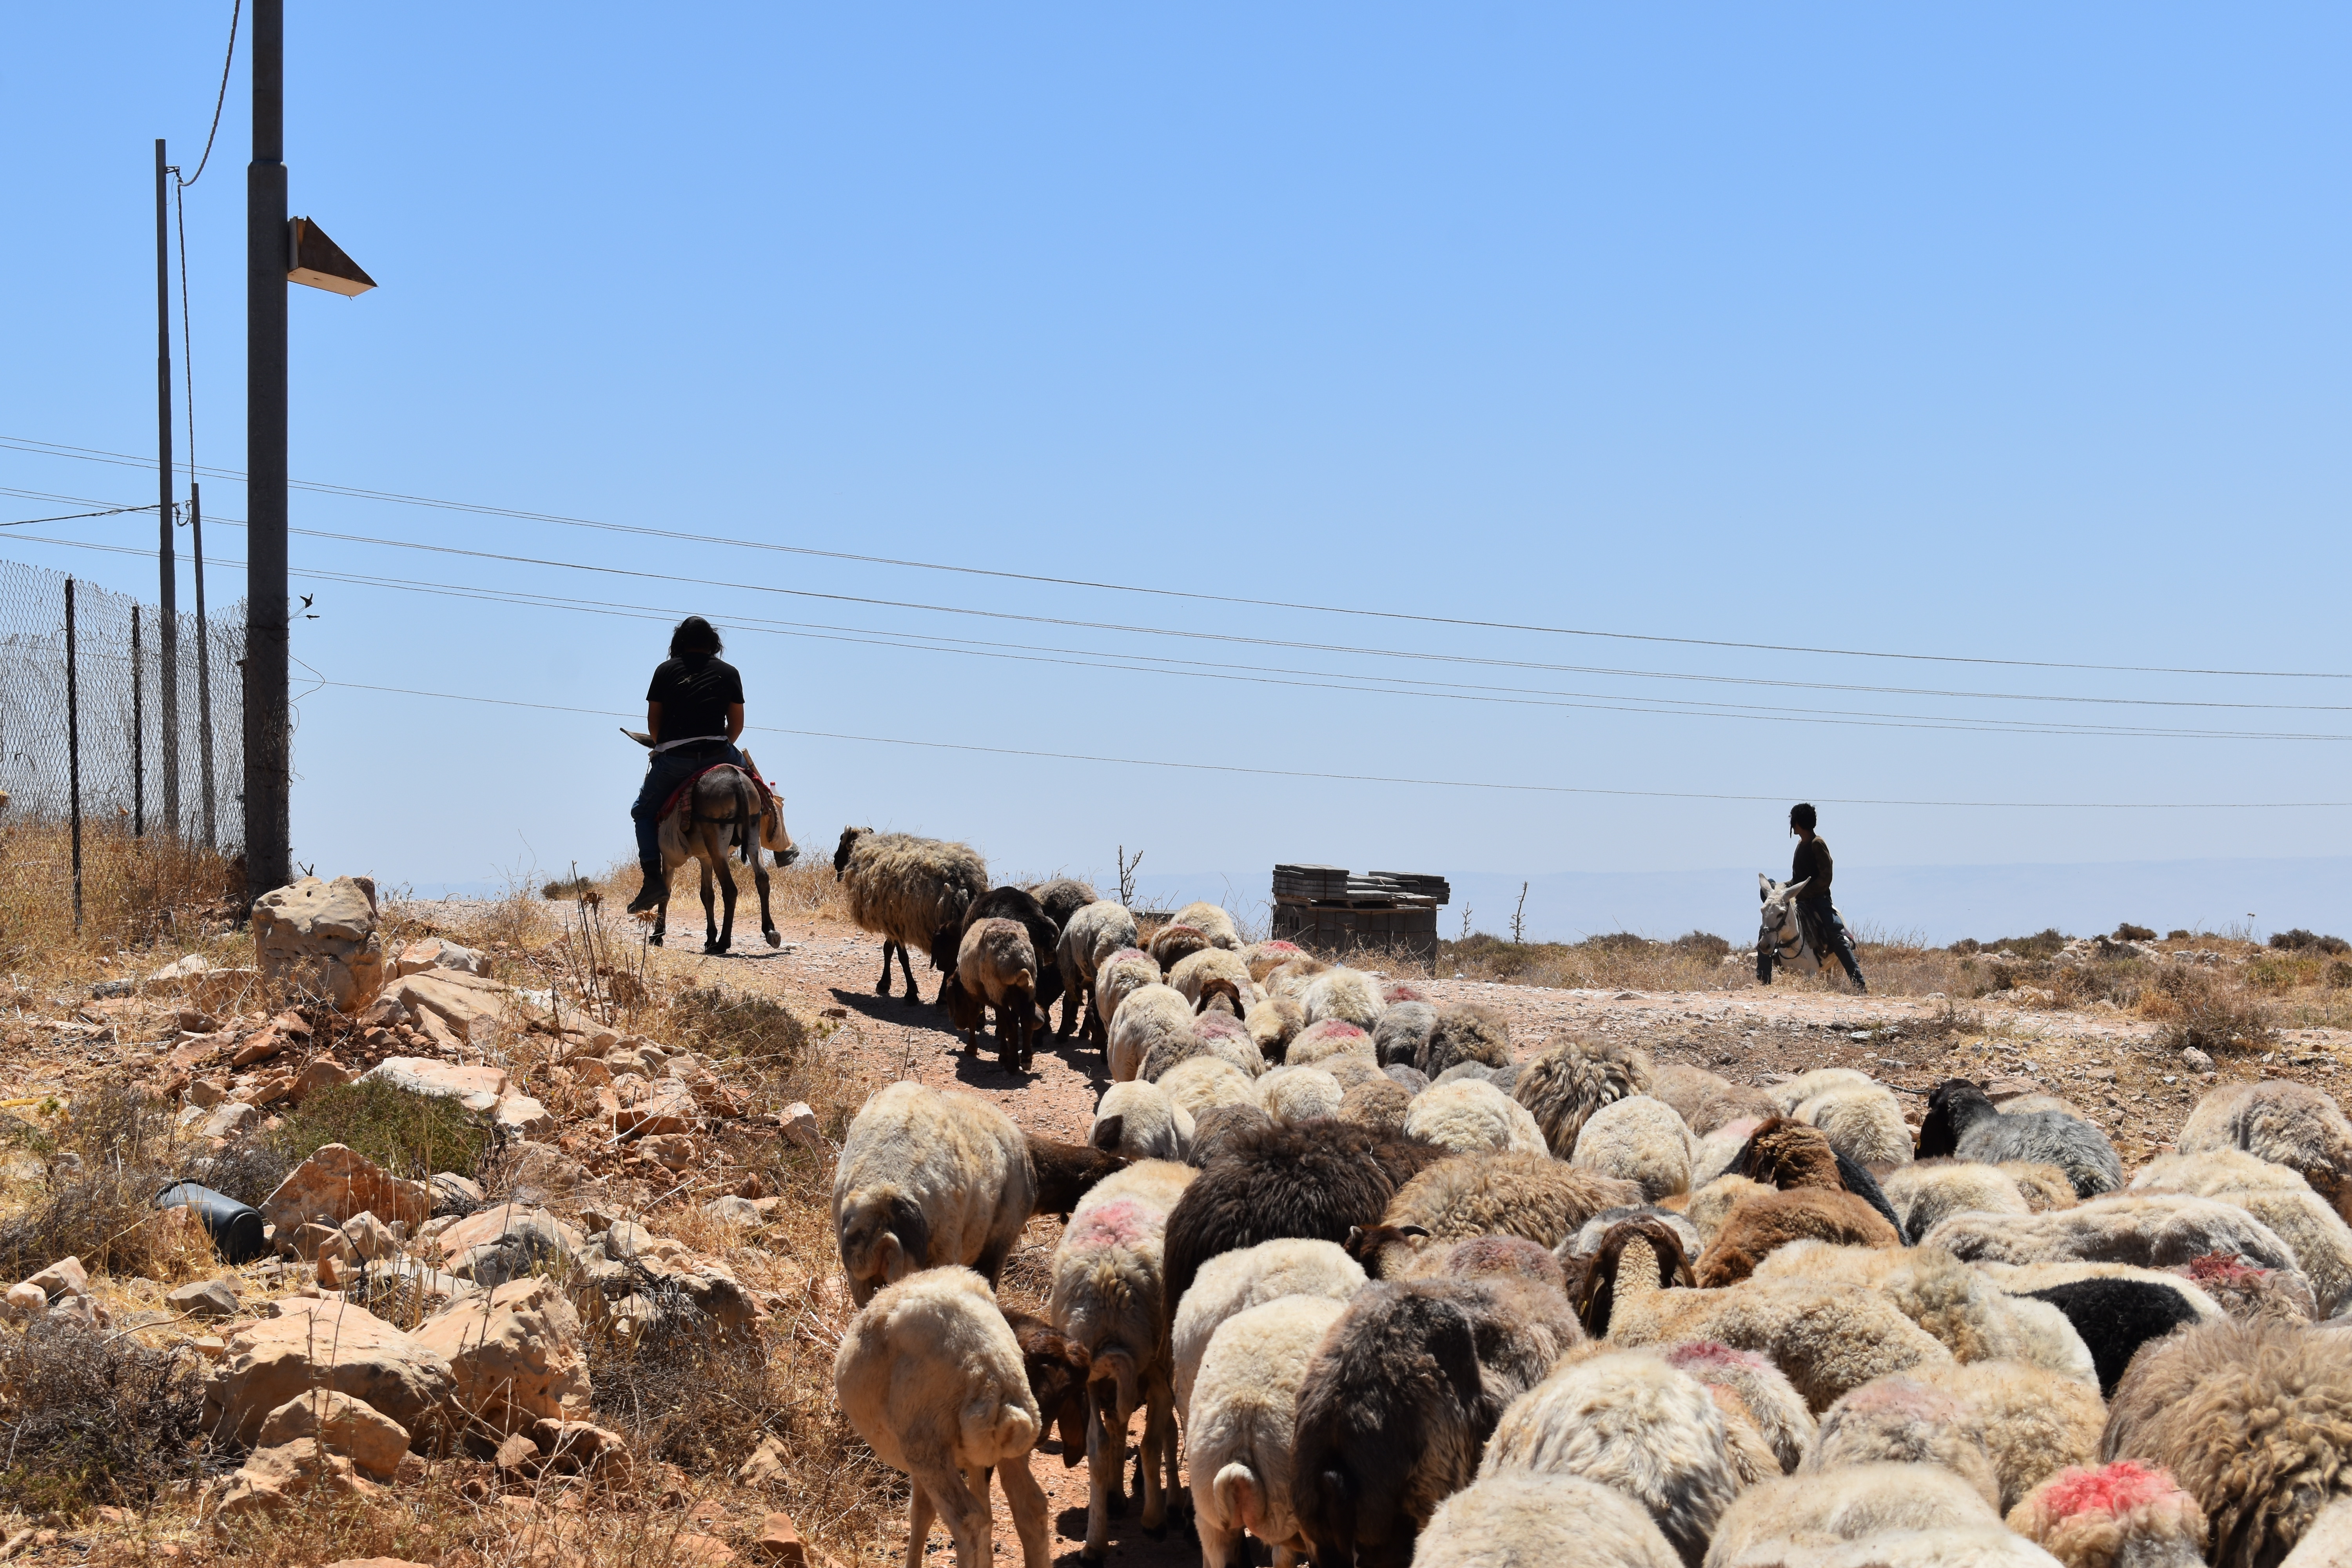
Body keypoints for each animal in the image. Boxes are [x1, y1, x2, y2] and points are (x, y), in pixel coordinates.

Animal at [832, 1267, 1049, 1568]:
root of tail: (991, 1373)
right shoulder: (975, 1460)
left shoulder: (918, 1456)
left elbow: (920, 1513)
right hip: (1012, 1443)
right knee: (1031, 1509)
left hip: (926, 1447)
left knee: (969, 1521)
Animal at [833, 827, 989, 1005]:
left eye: (842, 840)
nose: (835, 861)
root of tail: (963, 881)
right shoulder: (893, 920)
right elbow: (889, 949)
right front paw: (885, 984)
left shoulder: (896, 922)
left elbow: (901, 957)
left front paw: (910, 993)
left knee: (950, 962)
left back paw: (943, 997)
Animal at [947, 917, 1043, 1071]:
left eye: (957, 999)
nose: (959, 1025)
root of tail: (1016, 958)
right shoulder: (1002, 999)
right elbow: (1002, 1024)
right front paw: (1003, 1055)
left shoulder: (973, 994)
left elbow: (974, 1017)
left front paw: (971, 1049)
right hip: (1025, 990)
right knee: (1025, 1021)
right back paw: (1026, 1058)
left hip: (996, 988)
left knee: (1013, 1025)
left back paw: (1013, 1065)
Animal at [1048, 1159, 1196, 1560]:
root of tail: (1108, 1275)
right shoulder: (1158, 1374)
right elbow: (1158, 1438)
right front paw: (1163, 1510)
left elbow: (1118, 1433)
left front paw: (1117, 1497)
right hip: (1153, 1362)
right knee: (1152, 1441)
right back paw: (1155, 1519)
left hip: (1092, 1371)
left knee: (1099, 1447)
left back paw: (1095, 1543)